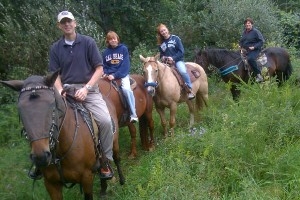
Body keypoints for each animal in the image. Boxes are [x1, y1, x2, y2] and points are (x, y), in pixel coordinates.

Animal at [0, 70, 124, 198]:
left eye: (52, 107)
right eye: (21, 111)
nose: (40, 157)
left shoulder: (87, 178)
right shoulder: (51, 183)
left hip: (114, 142)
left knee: (116, 157)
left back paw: (121, 181)